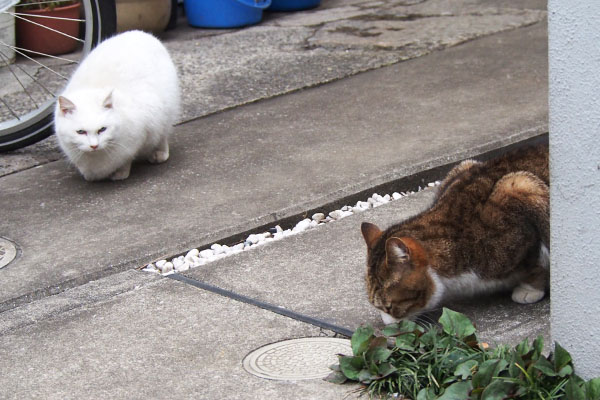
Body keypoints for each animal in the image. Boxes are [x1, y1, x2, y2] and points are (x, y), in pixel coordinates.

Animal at [54, 30, 179, 180]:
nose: (94, 146)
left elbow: (126, 159)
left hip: (165, 113)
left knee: (162, 135)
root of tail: (140, 32)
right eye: (81, 132)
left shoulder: (136, 136)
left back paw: (159, 154)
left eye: (102, 129)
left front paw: (120, 173)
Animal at [360, 142, 548, 324]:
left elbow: (536, 261)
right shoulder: (463, 167)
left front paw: (530, 288)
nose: (388, 325)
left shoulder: (521, 187)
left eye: (389, 307)